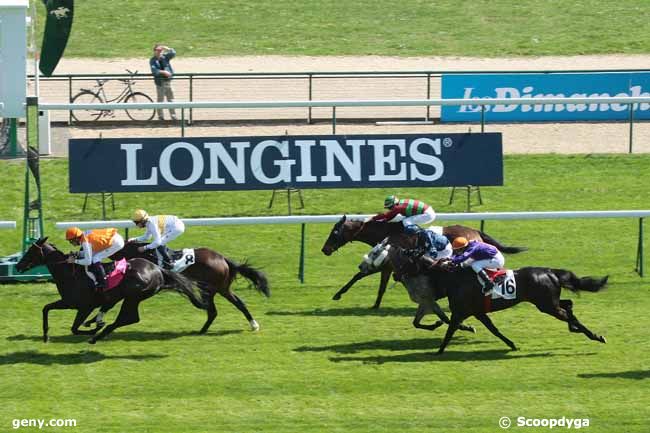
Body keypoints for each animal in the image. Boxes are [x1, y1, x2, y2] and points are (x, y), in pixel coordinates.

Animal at [15, 238, 205, 342]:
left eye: (30, 251)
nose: (18, 265)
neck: (71, 274)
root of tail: (157, 269)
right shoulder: (68, 302)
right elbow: (46, 308)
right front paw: (45, 335)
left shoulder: (84, 306)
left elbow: (74, 328)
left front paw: (93, 328)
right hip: (131, 298)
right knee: (130, 318)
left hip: (132, 297)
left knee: (129, 318)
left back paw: (97, 335)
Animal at [320, 216, 528, 308]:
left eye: (335, 232)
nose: (325, 250)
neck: (388, 233)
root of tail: (475, 231)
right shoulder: (387, 265)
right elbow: (380, 286)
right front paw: (376, 305)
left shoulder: (387, 263)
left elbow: (359, 275)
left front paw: (338, 294)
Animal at [384, 246, 608, 354]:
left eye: (405, 259)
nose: (395, 275)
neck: (453, 276)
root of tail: (549, 271)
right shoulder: (478, 312)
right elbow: (494, 329)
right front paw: (512, 344)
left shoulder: (460, 312)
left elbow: (449, 331)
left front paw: (437, 352)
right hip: (548, 302)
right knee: (568, 305)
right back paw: (577, 329)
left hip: (546, 305)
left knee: (568, 313)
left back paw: (595, 336)